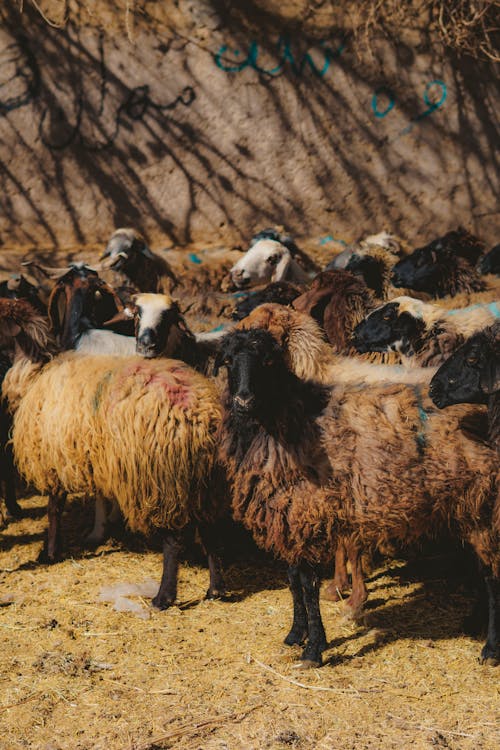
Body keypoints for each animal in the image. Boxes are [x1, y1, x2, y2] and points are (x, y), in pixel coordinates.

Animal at [0, 296, 225, 608]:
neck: (34, 371)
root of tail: (201, 412)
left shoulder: (55, 457)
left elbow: (54, 510)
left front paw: (50, 552)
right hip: (202, 480)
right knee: (211, 530)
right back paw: (215, 589)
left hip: (161, 476)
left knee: (174, 540)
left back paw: (163, 597)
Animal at [217, 326, 500, 668]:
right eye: (228, 360)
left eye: (267, 360)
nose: (243, 399)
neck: (290, 419)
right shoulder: (290, 515)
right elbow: (293, 579)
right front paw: (296, 634)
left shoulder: (307, 514)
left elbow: (308, 585)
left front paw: (314, 649)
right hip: (471, 508)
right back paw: (474, 622)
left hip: (487, 506)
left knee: (492, 577)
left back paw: (490, 649)